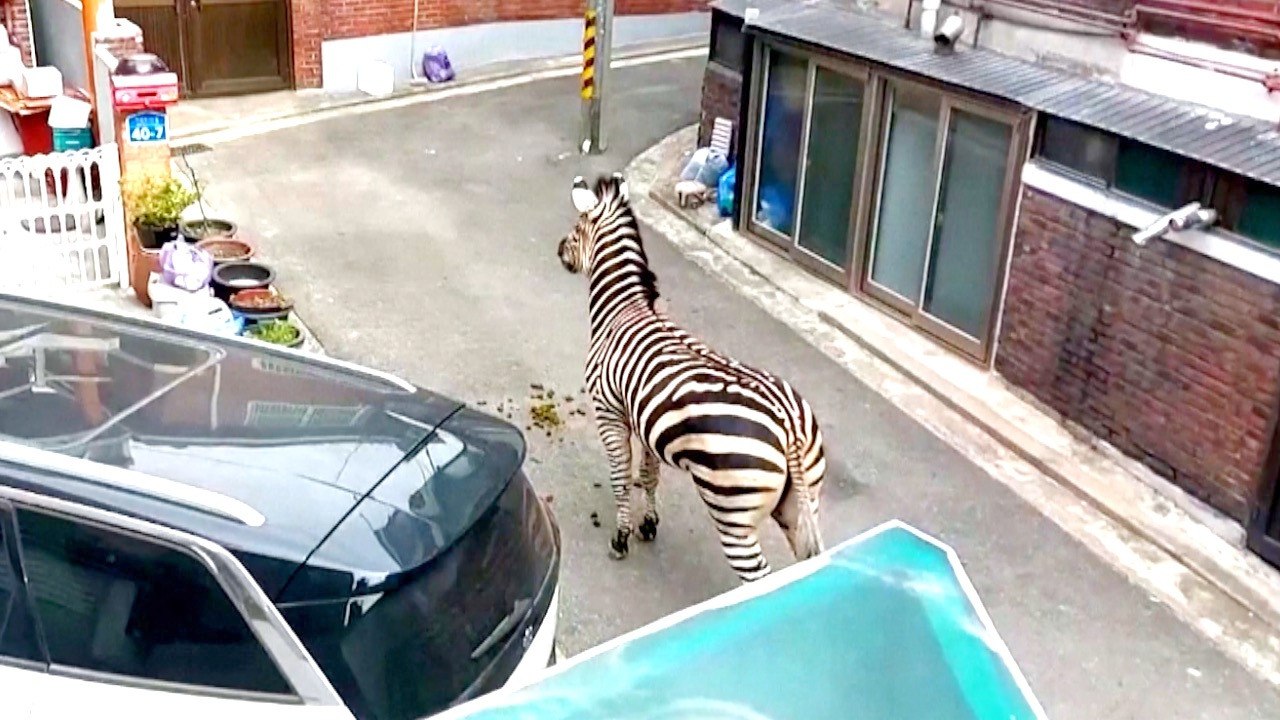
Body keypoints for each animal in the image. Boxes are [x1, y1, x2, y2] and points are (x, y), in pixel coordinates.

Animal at [556, 172, 828, 583]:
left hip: (734, 514)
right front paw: (648, 525)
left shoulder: (609, 414)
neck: (624, 308)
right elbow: (648, 475)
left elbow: (620, 479)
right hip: (802, 502)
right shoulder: (644, 423)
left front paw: (621, 538)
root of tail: (790, 427)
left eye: (576, 228)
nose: (559, 251)